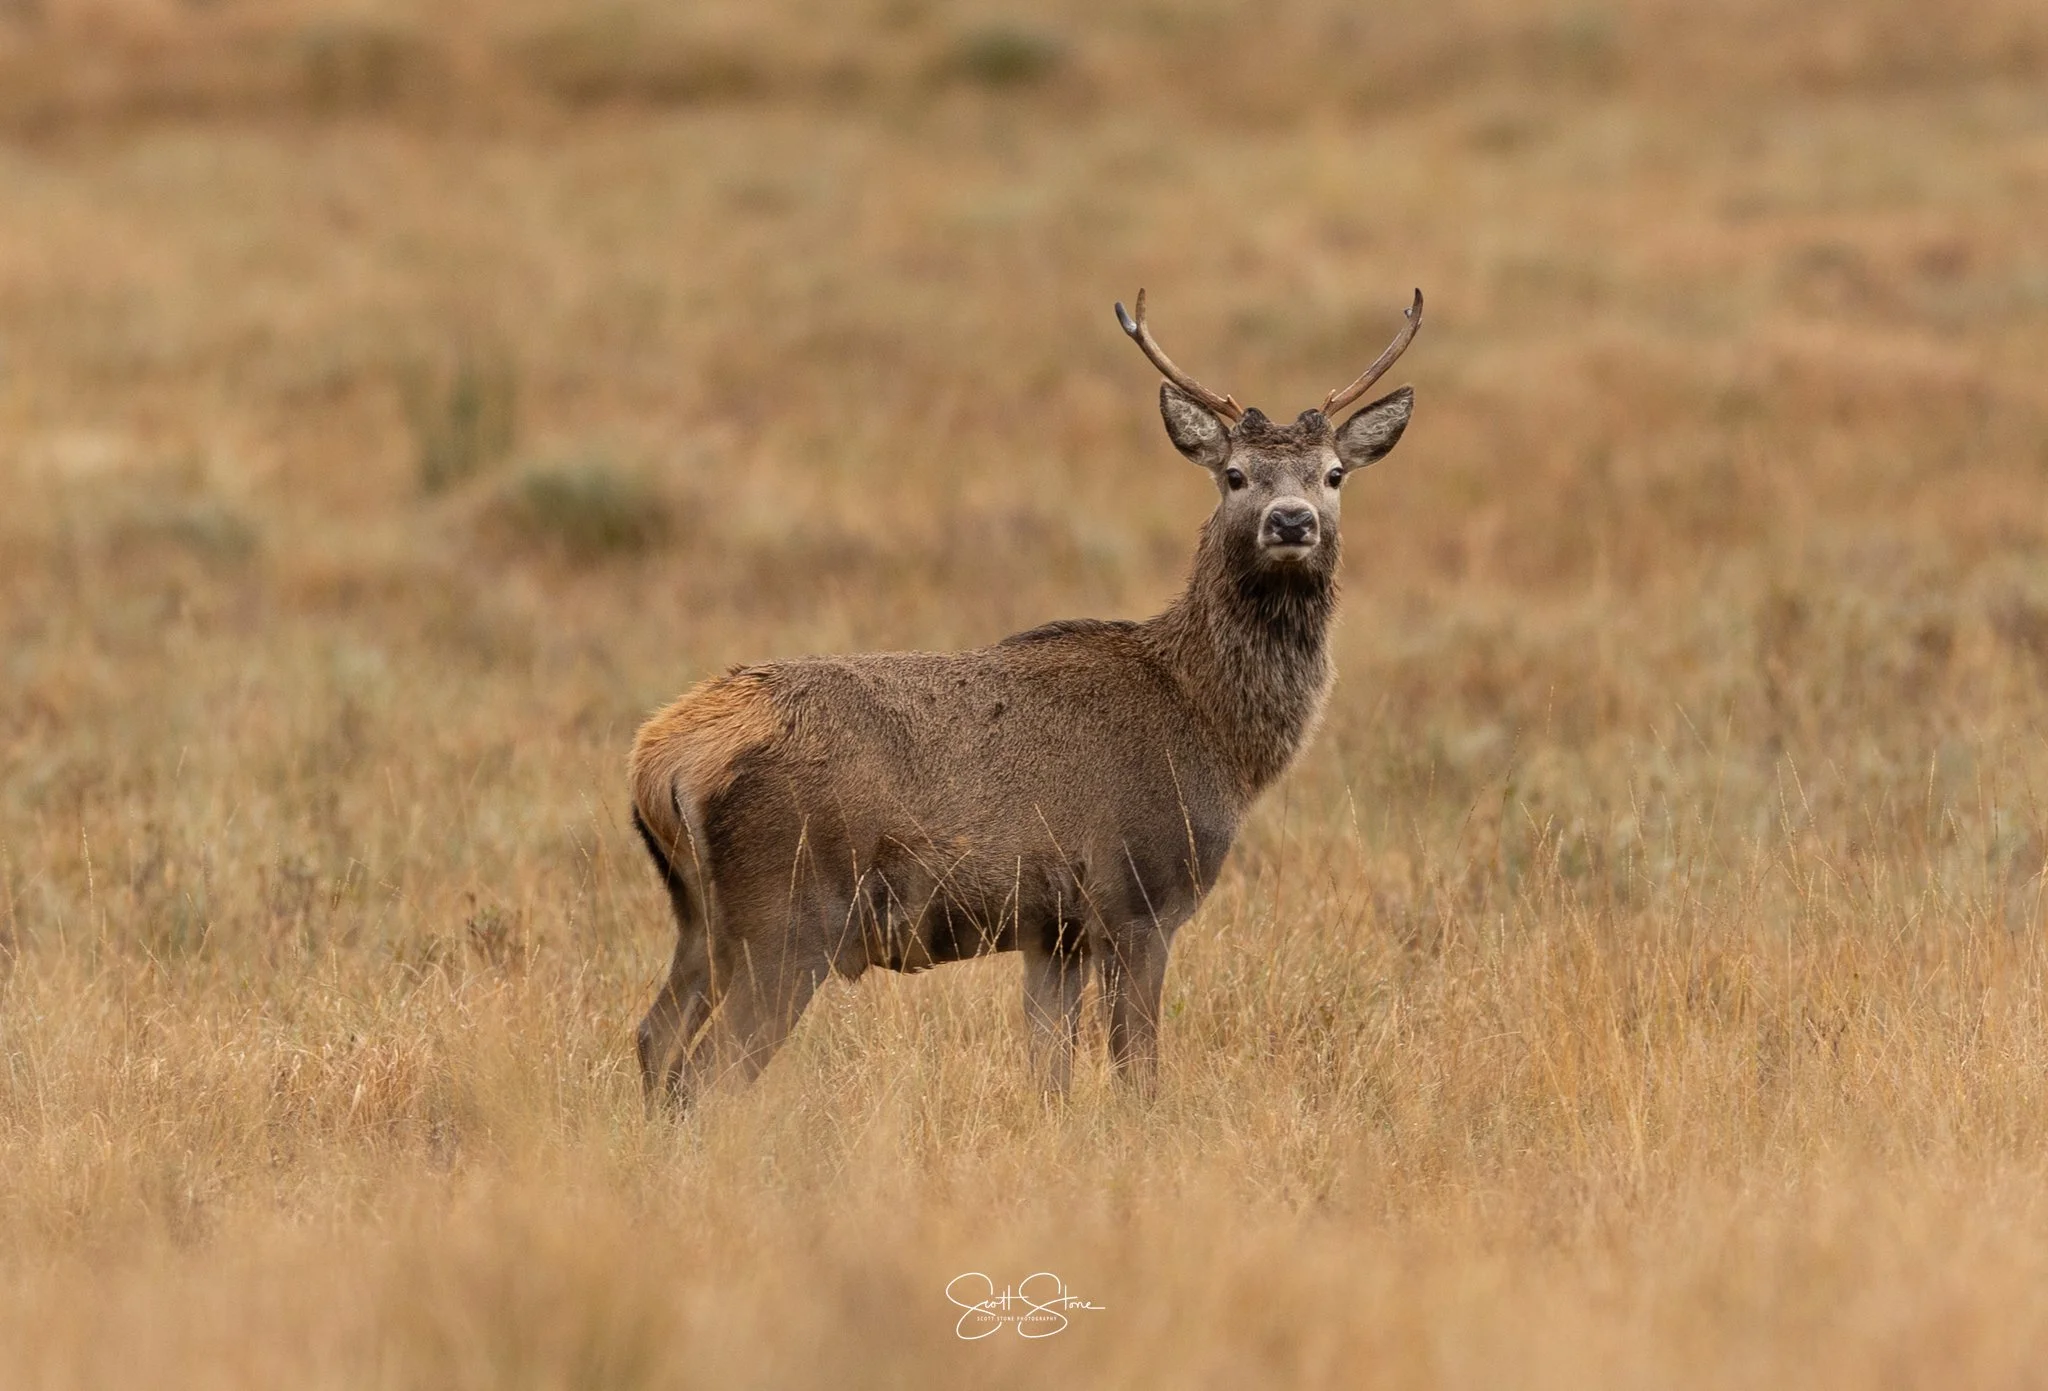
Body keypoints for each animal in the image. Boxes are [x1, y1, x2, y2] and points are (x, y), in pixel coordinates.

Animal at [628, 288, 1422, 1108]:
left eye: (1334, 474)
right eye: (1234, 474)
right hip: (786, 908)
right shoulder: (1139, 894)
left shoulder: (1054, 929)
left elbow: (1051, 1072)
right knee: (706, 1070)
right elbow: (1137, 1073)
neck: (1215, 735)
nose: (1291, 520)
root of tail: (660, 763)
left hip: (699, 914)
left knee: (656, 1037)